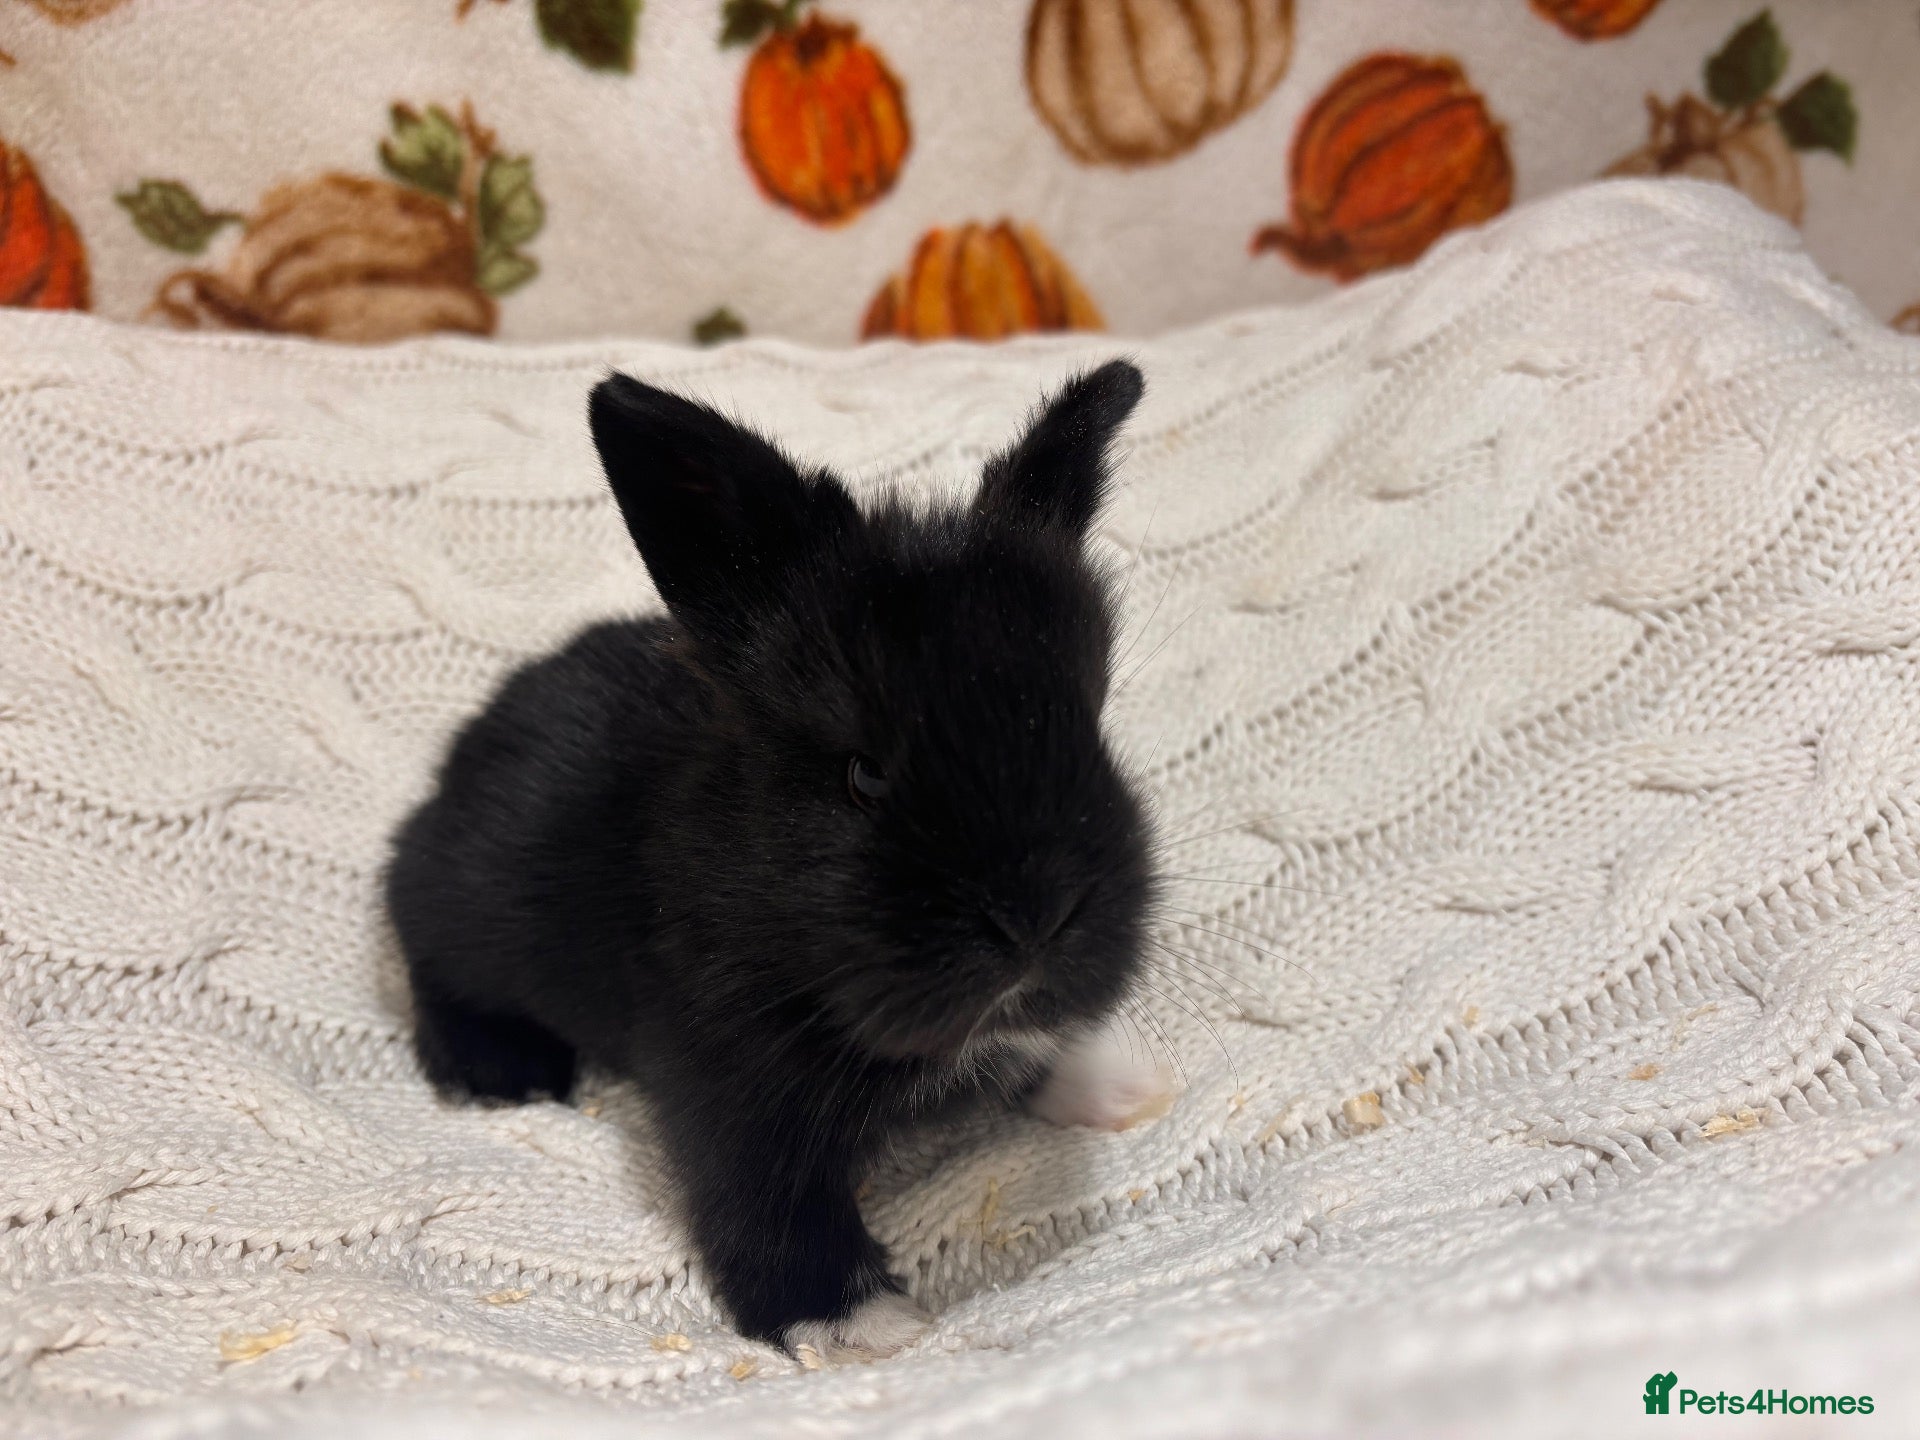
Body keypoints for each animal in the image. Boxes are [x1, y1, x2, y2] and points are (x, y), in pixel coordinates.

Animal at [385, 359, 1171, 1365]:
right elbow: (767, 1203)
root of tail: (468, 746)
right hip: (466, 912)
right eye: (863, 773)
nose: (1037, 920)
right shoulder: (731, 1089)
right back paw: (498, 1070)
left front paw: (1115, 1086)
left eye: (1089, 723)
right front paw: (862, 1327)